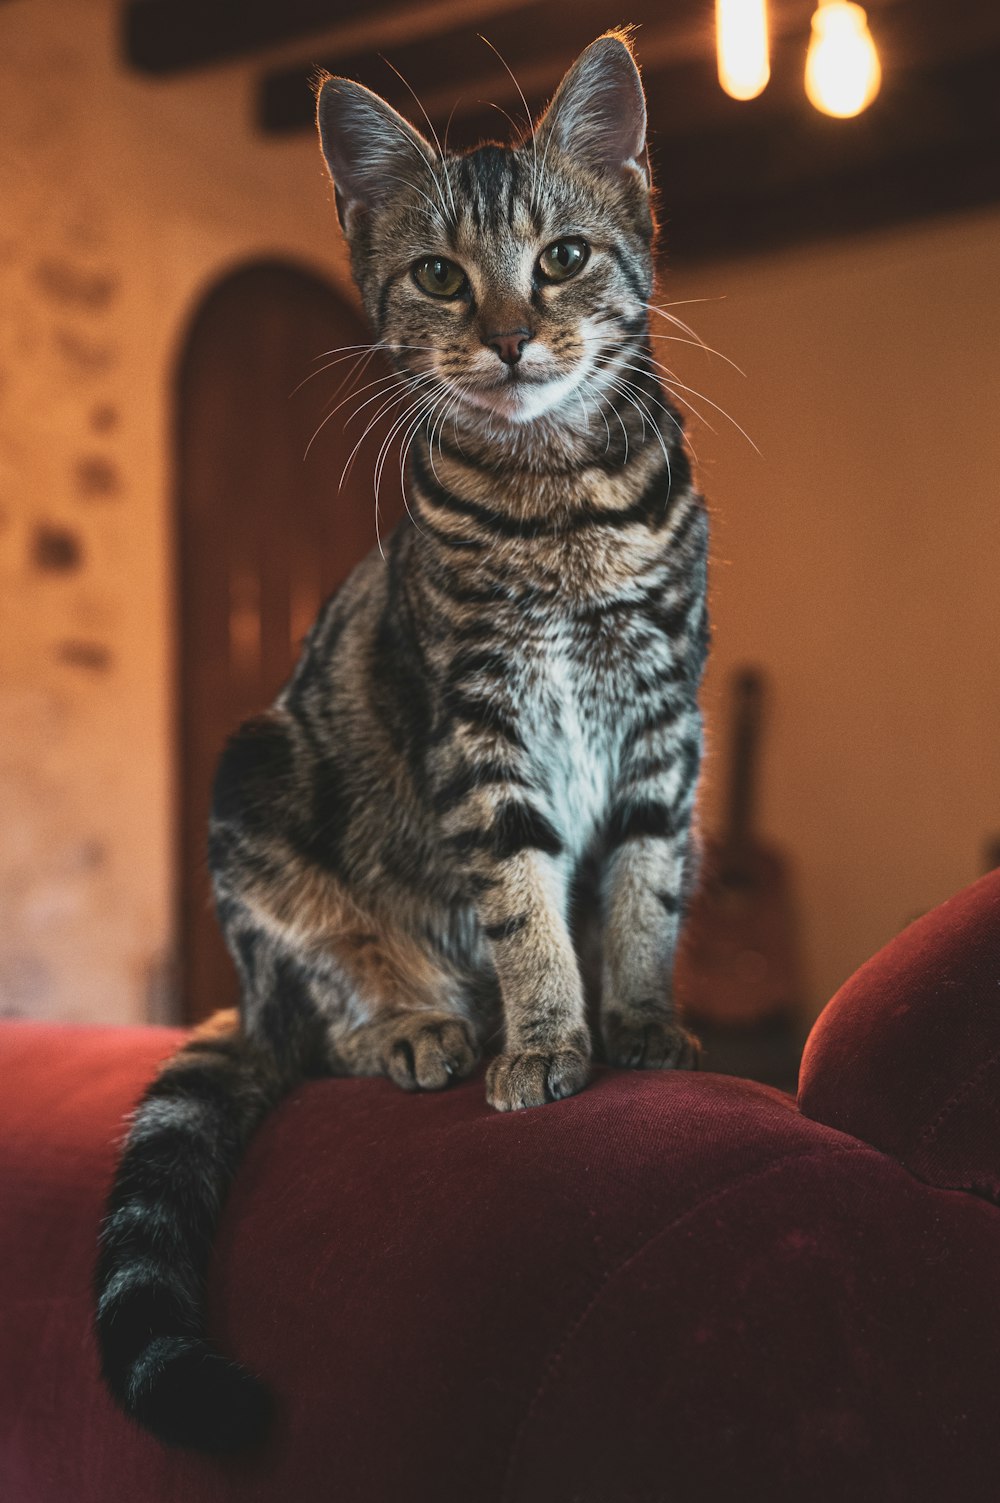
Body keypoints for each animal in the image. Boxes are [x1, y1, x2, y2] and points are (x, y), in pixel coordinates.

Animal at [93, 29, 706, 1448]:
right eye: (438, 275)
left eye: (562, 257)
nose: (511, 336)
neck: (559, 506)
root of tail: (247, 998)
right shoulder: (484, 734)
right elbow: (525, 908)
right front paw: (544, 1040)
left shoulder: (663, 720)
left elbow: (644, 891)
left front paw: (636, 1020)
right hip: (252, 785)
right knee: (320, 1015)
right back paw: (420, 1026)